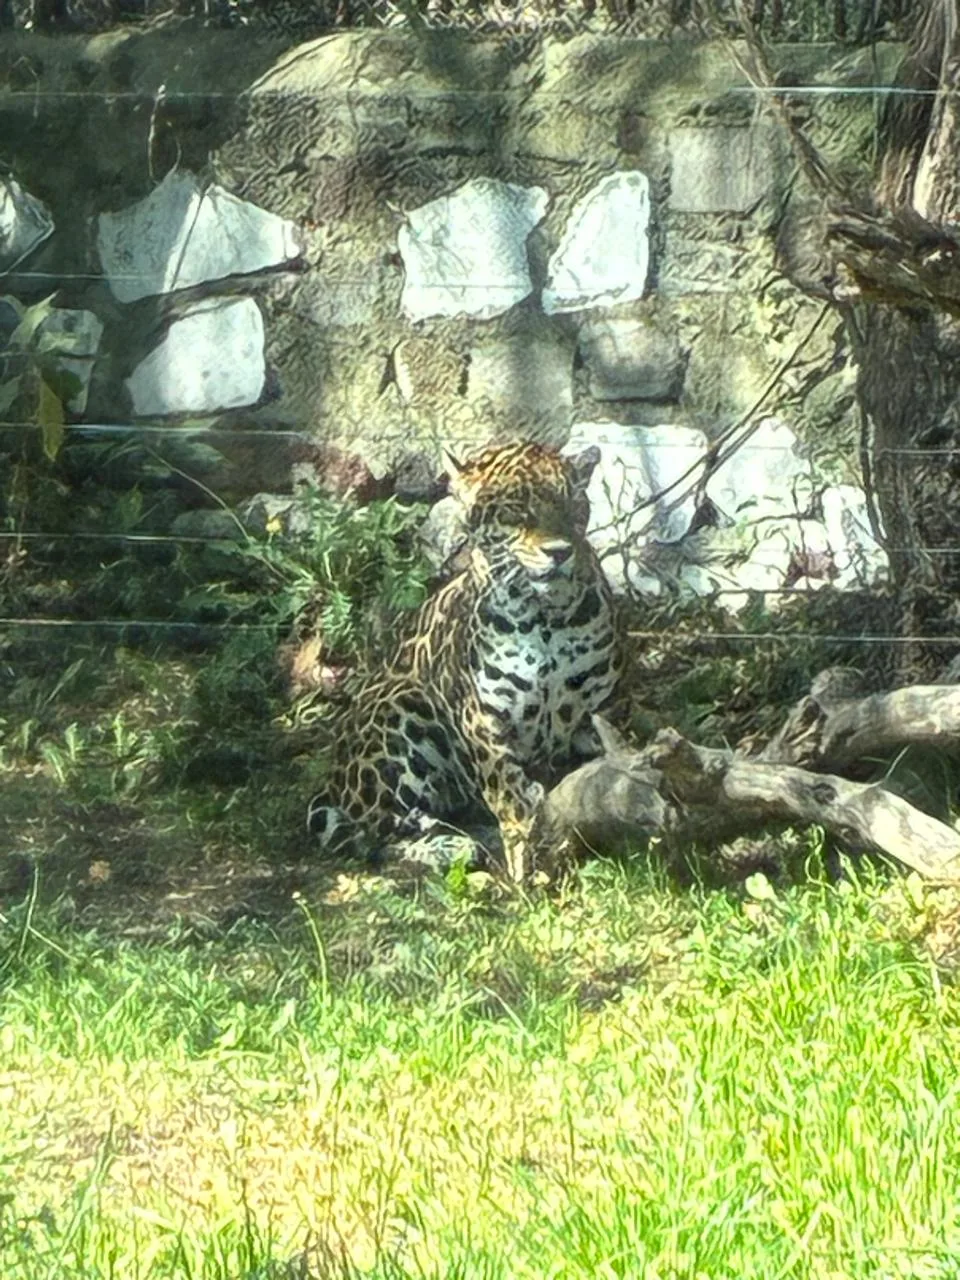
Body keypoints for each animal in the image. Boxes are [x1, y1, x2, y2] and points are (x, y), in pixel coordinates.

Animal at [306, 440, 621, 881]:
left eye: (573, 505)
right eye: (516, 509)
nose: (560, 552)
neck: (545, 616)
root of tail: (333, 781)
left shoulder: (601, 704)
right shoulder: (482, 717)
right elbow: (509, 796)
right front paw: (524, 866)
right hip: (399, 703)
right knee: (372, 833)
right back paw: (449, 849)